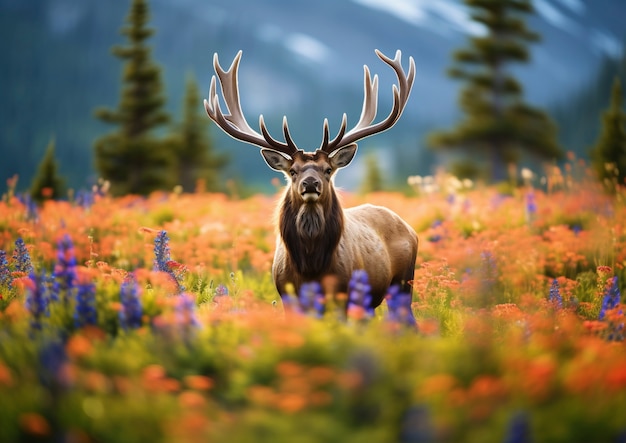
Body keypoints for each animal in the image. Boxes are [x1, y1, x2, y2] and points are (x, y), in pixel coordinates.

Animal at [205, 48, 416, 308]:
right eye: (293, 171)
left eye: (328, 170)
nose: (310, 183)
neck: (310, 268)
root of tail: (410, 229)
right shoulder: (287, 295)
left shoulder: (343, 295)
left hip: (404, 283)